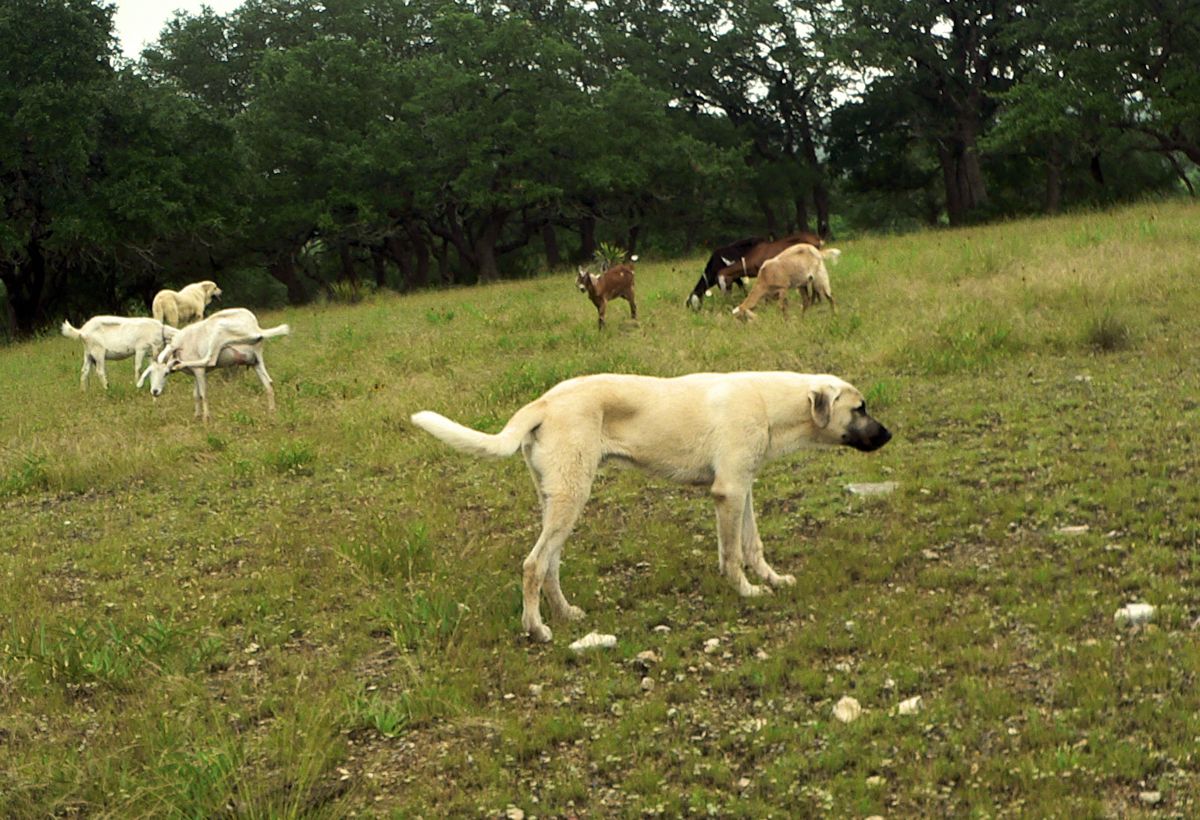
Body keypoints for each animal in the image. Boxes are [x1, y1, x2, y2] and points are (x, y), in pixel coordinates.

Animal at [138, 307, 290, 422]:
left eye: (166, 373)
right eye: (150, 373)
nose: (155, 391)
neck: (181, 344)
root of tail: (256, 328)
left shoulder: (199, 370)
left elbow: (203, 394)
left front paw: (206, 418)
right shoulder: (195, 374)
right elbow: (195, 394)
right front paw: (196, 416)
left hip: (220, 333)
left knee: (210, 359)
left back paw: (178, 364)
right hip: (255, 360)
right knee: (269, 383)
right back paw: (272, 412)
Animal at [412, 369, 892, 643]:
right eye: (860, 408)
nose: (888, 435)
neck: (768, 401)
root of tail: (542, 402)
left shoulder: (744, 489)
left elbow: (753, 546)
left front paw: (773, 580)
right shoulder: (729, 491)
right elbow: (732, 555)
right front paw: (747, 592)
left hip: (558, 501)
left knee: (549, 566)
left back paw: (565, 614)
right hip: (571, 497)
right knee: (533, 564)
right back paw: (537, 628)